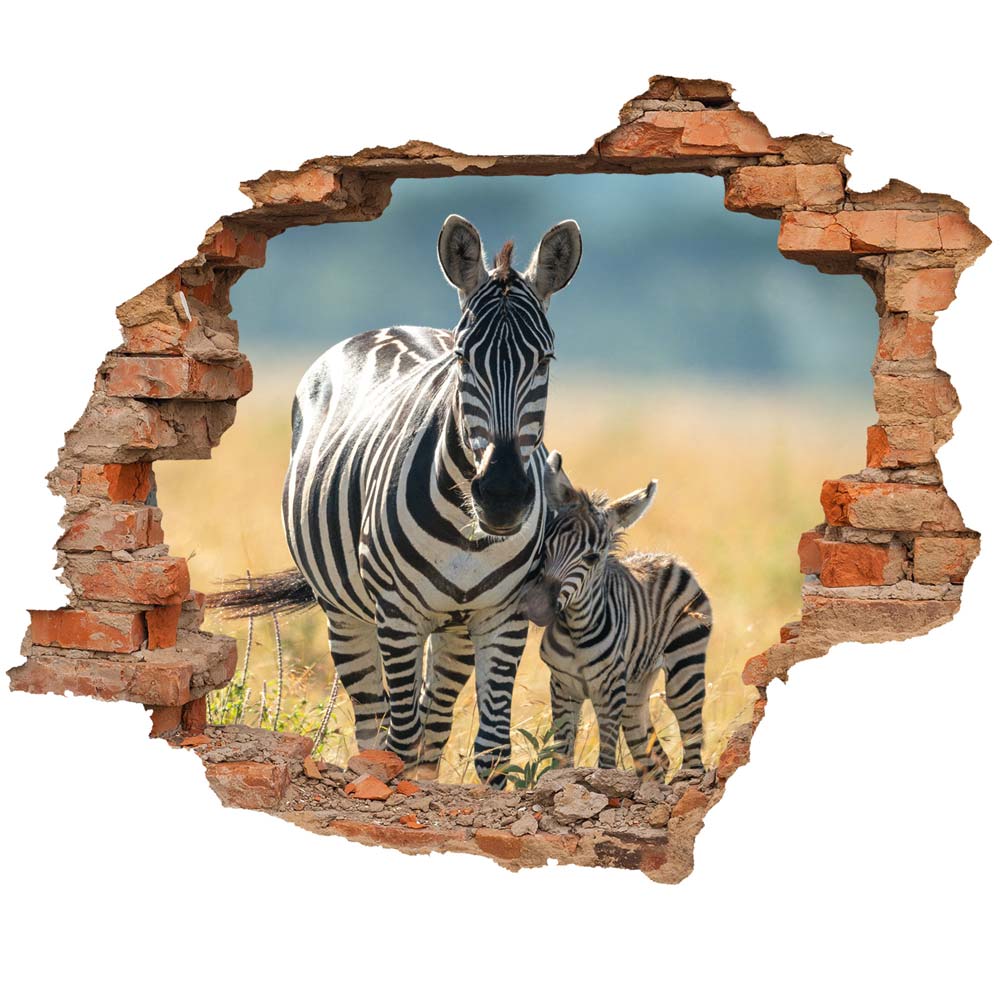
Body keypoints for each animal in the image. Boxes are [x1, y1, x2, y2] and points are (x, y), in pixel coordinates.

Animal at [210, 215, 583, 785]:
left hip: (453, 628)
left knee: (435, 721)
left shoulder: (505, 615)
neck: (470, 536)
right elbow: (399, 742)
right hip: (346, 614)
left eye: (545, 359)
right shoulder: (397, 613)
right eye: (462, 358)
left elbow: (492, 750)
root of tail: (388, 328)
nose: (501, 497)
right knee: (376, 721)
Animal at [519, 452, 711, 777]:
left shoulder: (609, 693)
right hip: (636, 687)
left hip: (684, 668)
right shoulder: (562, 687)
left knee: (692, 747)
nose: (536, 607)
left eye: (592, 557)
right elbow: (561, 758)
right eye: (545, 546)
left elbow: (606, 762)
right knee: (655, 761)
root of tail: (670, 559)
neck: (576, 630)